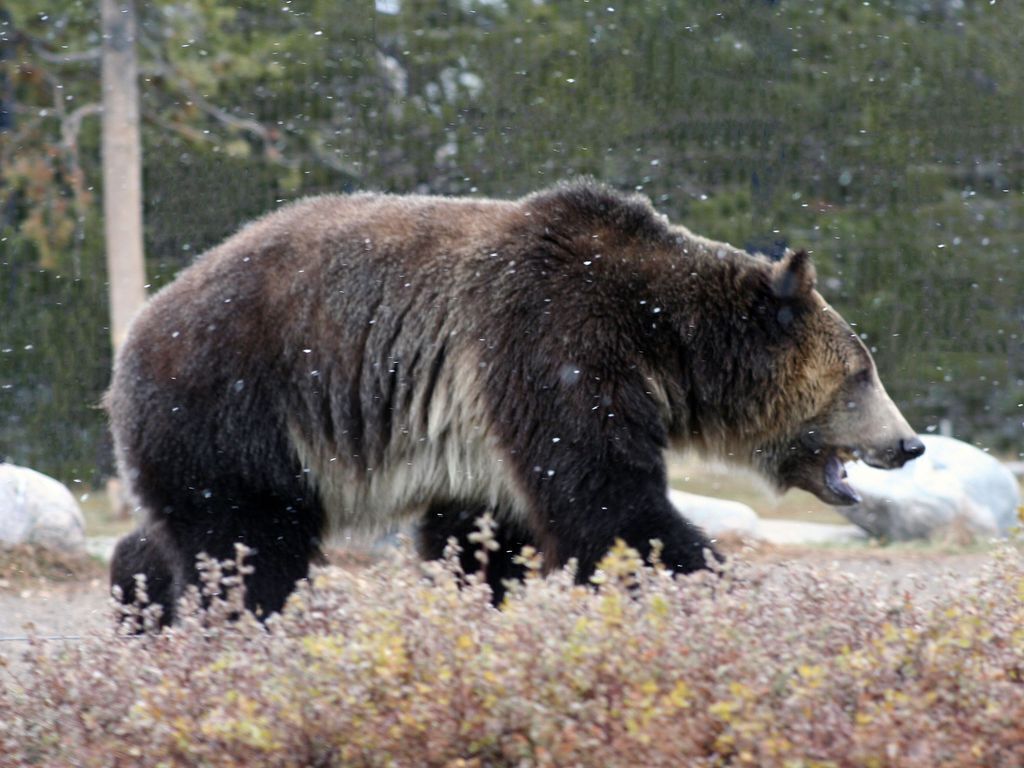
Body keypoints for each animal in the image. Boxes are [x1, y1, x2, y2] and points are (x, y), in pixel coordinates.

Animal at [107, 179, 924, 623]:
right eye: (861, 375)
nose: (909, 443)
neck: (662, 339)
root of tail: (141, 325)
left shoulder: (479, 443)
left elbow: (488, 539)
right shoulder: (552, 344)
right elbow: (613, 511)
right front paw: (725, 597)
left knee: (187, 534)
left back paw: (141, 605)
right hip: (240, 403)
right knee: (248, 542)